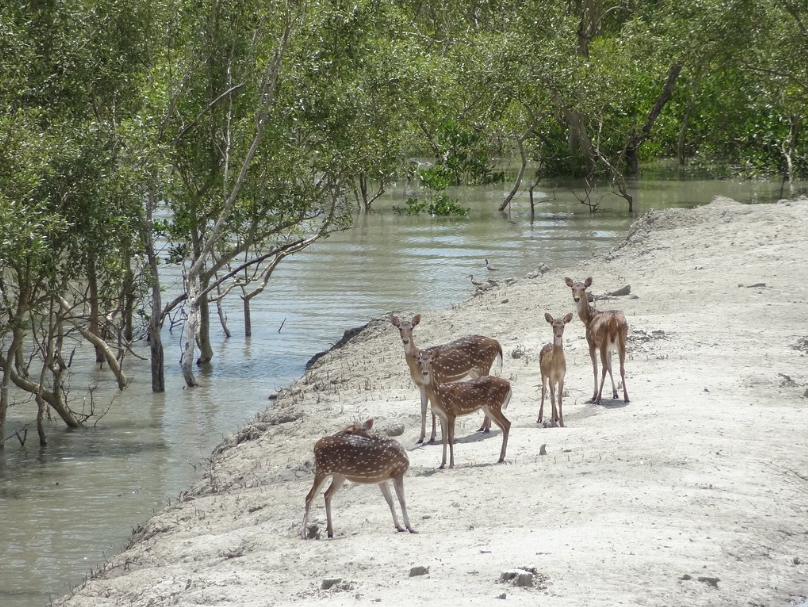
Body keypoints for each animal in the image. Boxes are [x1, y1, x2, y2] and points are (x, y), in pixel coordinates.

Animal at [388, 314, 502, 442]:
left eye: (412, 328)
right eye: (399, 328)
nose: (405, 340)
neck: (416, 366)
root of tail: (497, 343)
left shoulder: (436, 378)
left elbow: (432, 410)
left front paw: (432, 437)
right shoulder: (420, 385)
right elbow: (423, 409)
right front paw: (421, 438)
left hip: (484, 366)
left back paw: (486, 428)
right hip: (475, 372)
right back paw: (484, 427)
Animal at [560, 278, 632, 406]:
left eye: (583, 288)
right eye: (572, 288)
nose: (576, 298)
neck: (589, 319)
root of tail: (613, 320)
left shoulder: (591, 344)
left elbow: (595, 369)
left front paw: (594, 395)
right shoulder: (609, 349)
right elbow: (611, 367)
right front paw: (615, 393)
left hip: (602, 343)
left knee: (603, 367)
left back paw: (598, 398)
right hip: (622, 342)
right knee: (621, 368)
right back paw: (626, 397)